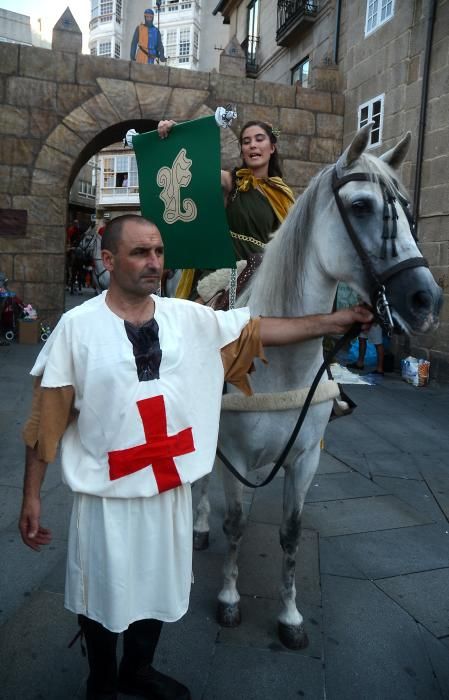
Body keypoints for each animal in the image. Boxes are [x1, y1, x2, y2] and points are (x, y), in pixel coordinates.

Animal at [192, 124, 440, 652]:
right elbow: (235, 524)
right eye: (362, 206)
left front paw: (289, 616)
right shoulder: (236, 454)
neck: (282, 359)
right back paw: (198, 526)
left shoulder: (305, 457)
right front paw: (228, 599)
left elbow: (291, 533)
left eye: (409, 211)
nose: (426, 300)